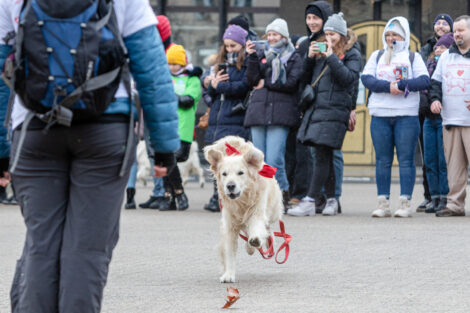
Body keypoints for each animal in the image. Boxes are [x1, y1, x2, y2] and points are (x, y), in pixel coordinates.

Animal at [203, 135, 282, 282]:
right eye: (224, 174)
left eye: (241, 173)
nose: (230, 186)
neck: (242, 203)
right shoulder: (229, 225)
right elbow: (229, 252)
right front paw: (228, 274)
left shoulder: (256, 212)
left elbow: (257, 228)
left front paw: (256, 240)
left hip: (273, 211)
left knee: (268, 228)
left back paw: (265, 242)